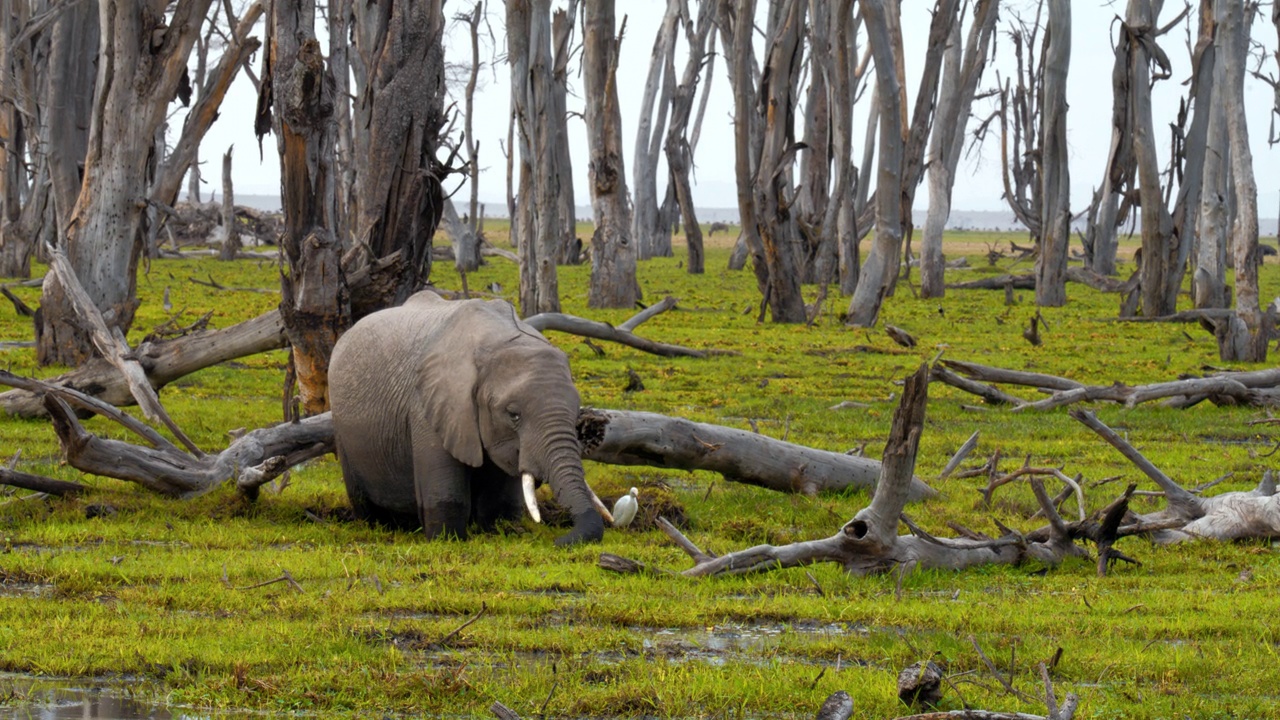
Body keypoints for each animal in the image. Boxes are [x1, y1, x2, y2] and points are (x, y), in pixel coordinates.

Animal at [330, 286, 609, 543]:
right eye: (513, 415)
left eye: (576, 416)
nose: (556, 539)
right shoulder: (429, 404)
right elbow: (446, 489)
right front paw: (447, 540)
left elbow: (501, 489)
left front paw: (501, 533)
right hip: (343, 431)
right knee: (361, 498)